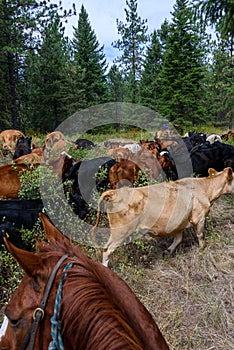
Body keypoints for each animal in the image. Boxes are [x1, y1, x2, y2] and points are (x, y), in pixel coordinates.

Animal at [91, 167, 234, 266]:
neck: (205, 188)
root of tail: (115, 192)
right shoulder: (199, 218)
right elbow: (201, 237)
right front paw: (202, 251)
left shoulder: (178, 223)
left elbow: (178, 239)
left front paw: (168, 251)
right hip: (120, 232)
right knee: (107, 250)